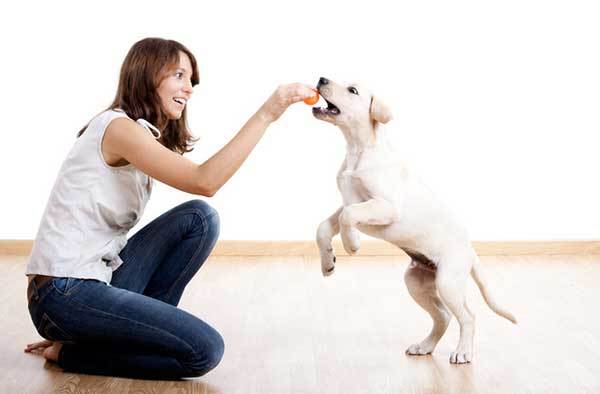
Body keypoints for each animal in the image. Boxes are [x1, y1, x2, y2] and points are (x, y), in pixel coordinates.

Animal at [314, 76, 516, 364]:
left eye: (352, 90)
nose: (321, 79)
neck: (357, 151)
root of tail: (470, 250)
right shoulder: (348, 201)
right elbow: (325, 226)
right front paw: (328, 261)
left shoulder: (386, 207)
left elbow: (348, 217)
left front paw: (351, 243)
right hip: (416, 281)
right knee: (442, 316)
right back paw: (425, 346)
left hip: (448, 281)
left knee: (468, 316)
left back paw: (463, 351)